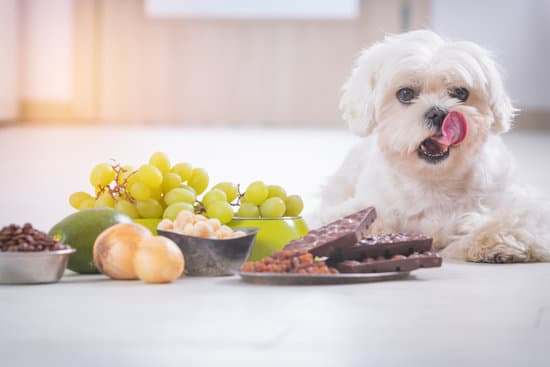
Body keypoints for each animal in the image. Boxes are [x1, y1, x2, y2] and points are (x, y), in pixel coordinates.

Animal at [322, 30, 550, 264]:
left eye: (460, 93)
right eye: (405, 94)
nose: (438, 113)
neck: (434, 181)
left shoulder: (522, 205)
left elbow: (513, 221)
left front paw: (494, 242)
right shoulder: (364, 204)